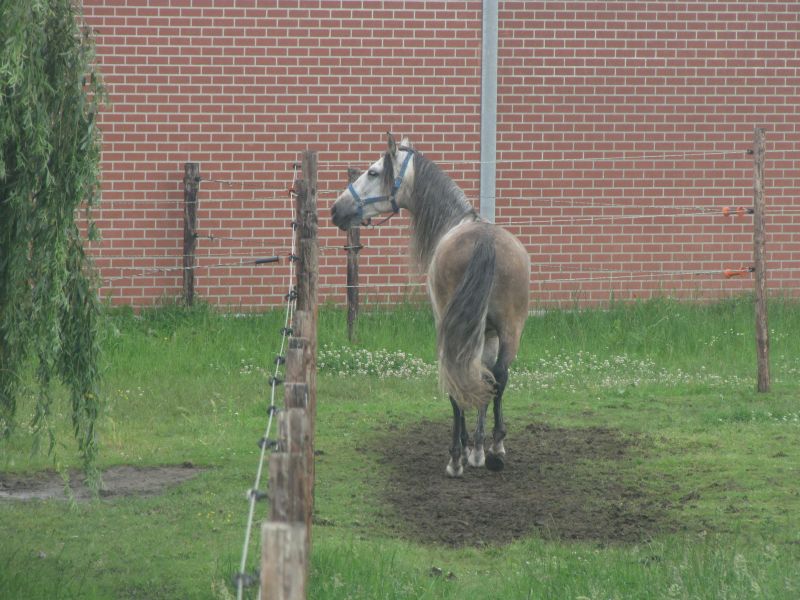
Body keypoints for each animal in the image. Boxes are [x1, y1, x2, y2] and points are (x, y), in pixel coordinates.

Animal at [332, 132, 532, 478]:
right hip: (510, 331)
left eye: (373, 172)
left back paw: (455, 458)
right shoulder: (489, 335)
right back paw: (496, 450)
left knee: (455, 381)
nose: (336, 209)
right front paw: (478, 449)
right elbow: (485, 380)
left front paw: (465, 451)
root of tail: (485, 241)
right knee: (499, 376)